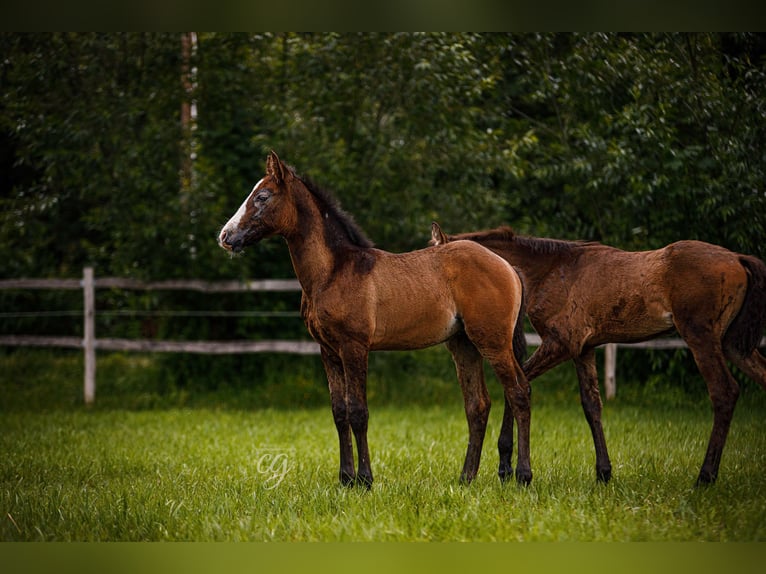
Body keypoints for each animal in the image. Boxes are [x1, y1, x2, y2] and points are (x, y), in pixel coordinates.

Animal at [219, 154, 536, 490]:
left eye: (262, 197)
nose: (225, 236)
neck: (333, 271)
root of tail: (508, 267)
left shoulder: (354, 347)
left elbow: (358, 411)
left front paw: (365, 480)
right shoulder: (328, 351)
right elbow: (339, 412)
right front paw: (345, 478)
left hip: (493, 342)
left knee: (519, 392)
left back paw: (523, 475)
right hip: (464, 345)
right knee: (478, 405)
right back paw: (466, 479)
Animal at [432, 222, 766, 486]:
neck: (552, 269)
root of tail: (738, 258)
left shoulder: (561, 344)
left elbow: (517, 387)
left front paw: (506, 465)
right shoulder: (585, 350)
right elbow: (591, 405)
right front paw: (604, 472)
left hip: (701, 338)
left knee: (724, 392)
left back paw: (705, 477)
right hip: (735, 346)